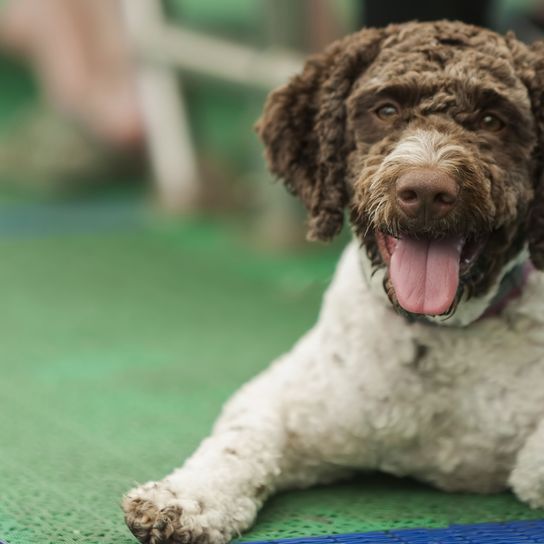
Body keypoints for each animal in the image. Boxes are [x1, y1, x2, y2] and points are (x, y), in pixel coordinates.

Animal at [123, 21, 544, 544]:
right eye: (386, 110)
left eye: (492, 120)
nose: (426, 191)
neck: (433, 341)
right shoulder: (287, 398)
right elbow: (240, 442)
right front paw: (183, 501)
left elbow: (532, 467)